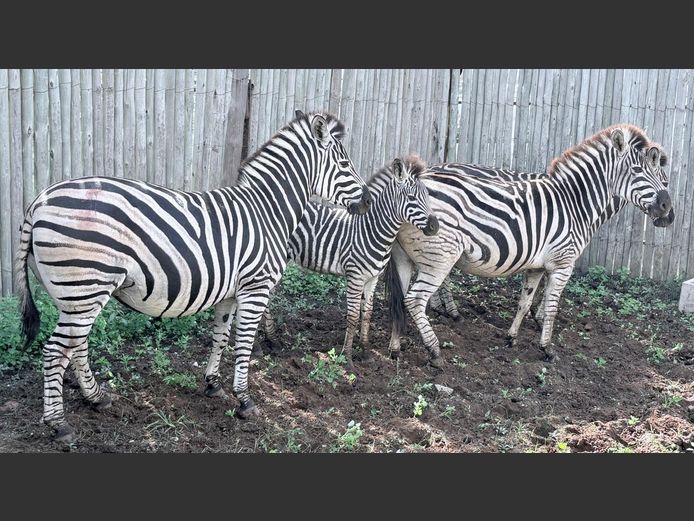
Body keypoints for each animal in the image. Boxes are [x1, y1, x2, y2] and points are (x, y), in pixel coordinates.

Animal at [15, 110, 371, 443]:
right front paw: (245, 400)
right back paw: (59, 424)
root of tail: (38, 202)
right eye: (344, 163)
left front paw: (213, 384)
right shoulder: (255, 289)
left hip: (75, 295)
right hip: (86, 286)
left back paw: (96, 397)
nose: (367, 202)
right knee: (55, 351)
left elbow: (220, 337)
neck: (268, 213)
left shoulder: (230, 292)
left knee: (75, 345)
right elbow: (244, 345)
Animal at [260, 155, 439, 364]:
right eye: (411, 198)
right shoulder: (355, 276)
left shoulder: (372, 278)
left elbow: (367, 313)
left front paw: (366, 351)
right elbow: (352, 316)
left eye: (427, 196)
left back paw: (272, 339)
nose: (435, 227)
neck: (371, 230)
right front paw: (347, 357)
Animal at [385, 124, 674, 367]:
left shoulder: (536, 266)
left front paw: (512, 337)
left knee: (401, 300)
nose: (667, 211)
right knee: (414, 299)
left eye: (664, 179)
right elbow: (552, 306)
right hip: (442, 255)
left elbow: (525, 302)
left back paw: (395, 348)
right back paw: (435, 350)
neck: (575, 203)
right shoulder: (562, 264)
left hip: (404, 256)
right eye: (638, 171)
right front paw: (547, 347)